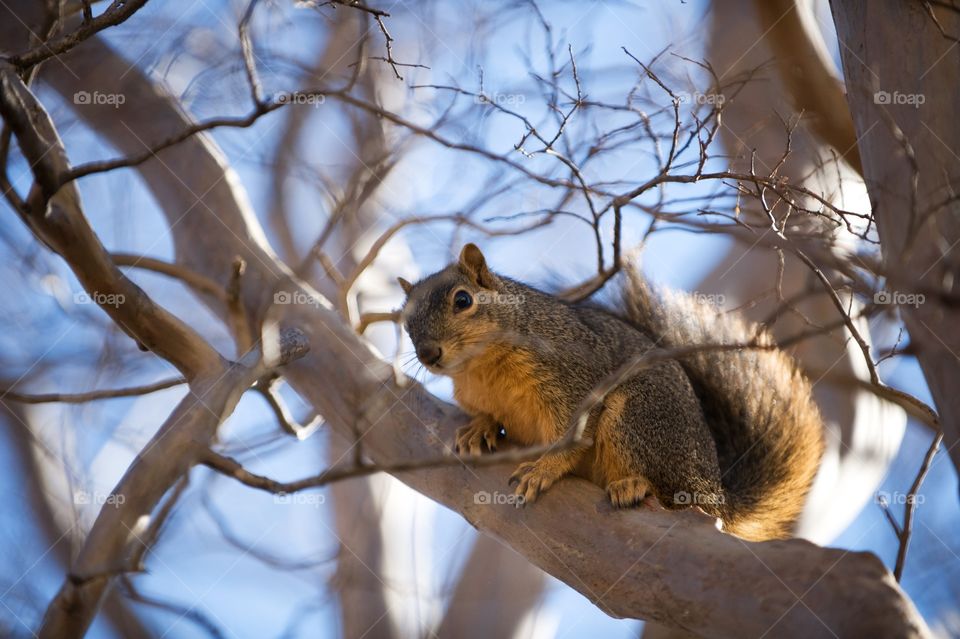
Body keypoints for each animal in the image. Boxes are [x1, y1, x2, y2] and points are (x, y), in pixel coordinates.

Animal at [398, 244, 824, 541]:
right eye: (404, 321)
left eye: (463, 300)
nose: (429, 355)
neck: (481, 367)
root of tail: (715, 491)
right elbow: (485, 413)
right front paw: (480, 427)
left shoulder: (574, 382)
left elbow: (571, 439)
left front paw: (542, 470)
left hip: (639, 416)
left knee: (671, 495)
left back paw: (634, 485)